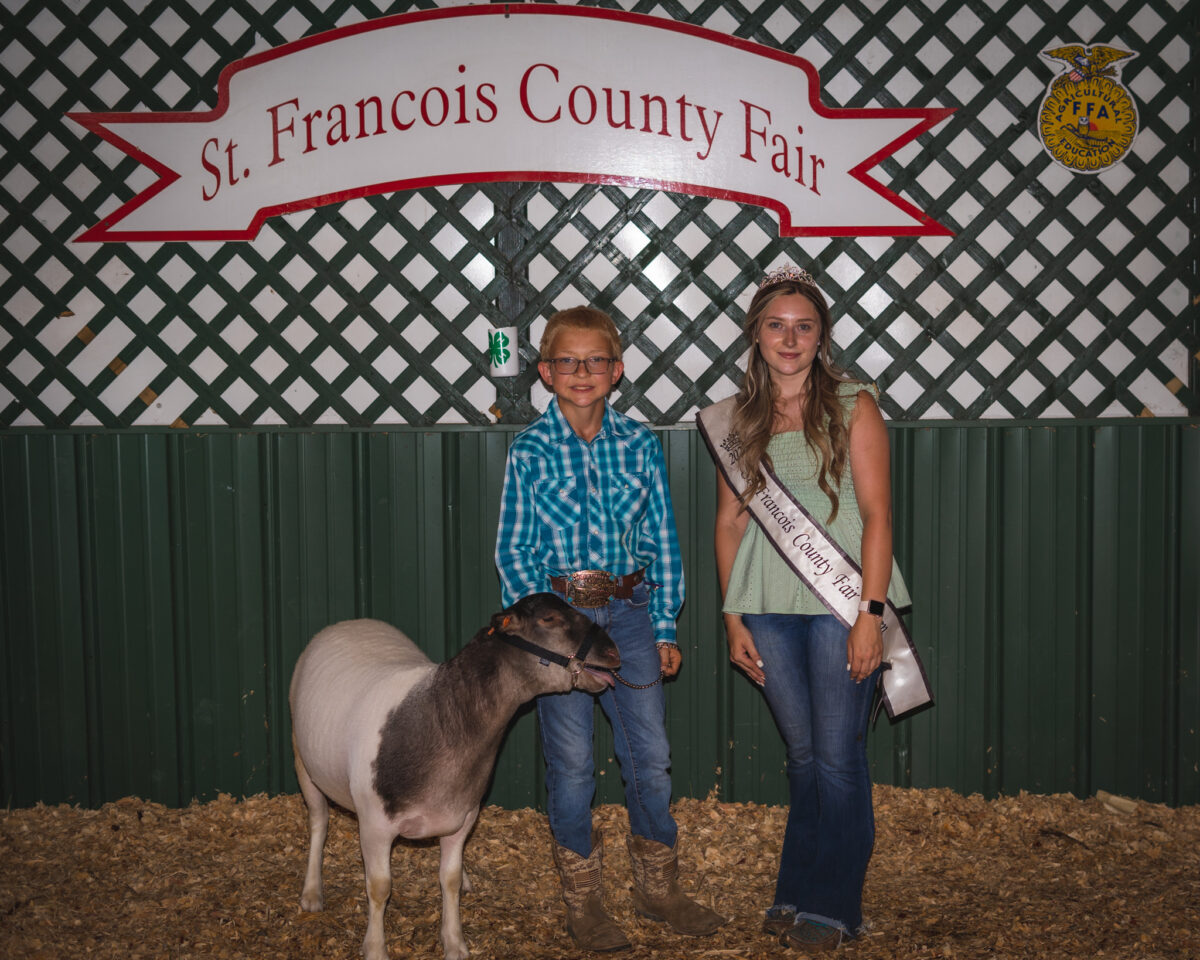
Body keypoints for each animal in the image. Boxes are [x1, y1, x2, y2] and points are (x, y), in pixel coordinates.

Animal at [290, 592, 624, 960]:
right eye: (549, 619)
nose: (614, 653)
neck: (441, 718)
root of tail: (352, 622)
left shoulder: (464, 815)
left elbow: (447, 879)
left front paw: (454, 941)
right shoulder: (374, 824)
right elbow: (379, 887)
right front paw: (375, 947)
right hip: (303, 761)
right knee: (319, 821)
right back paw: (312, 892)